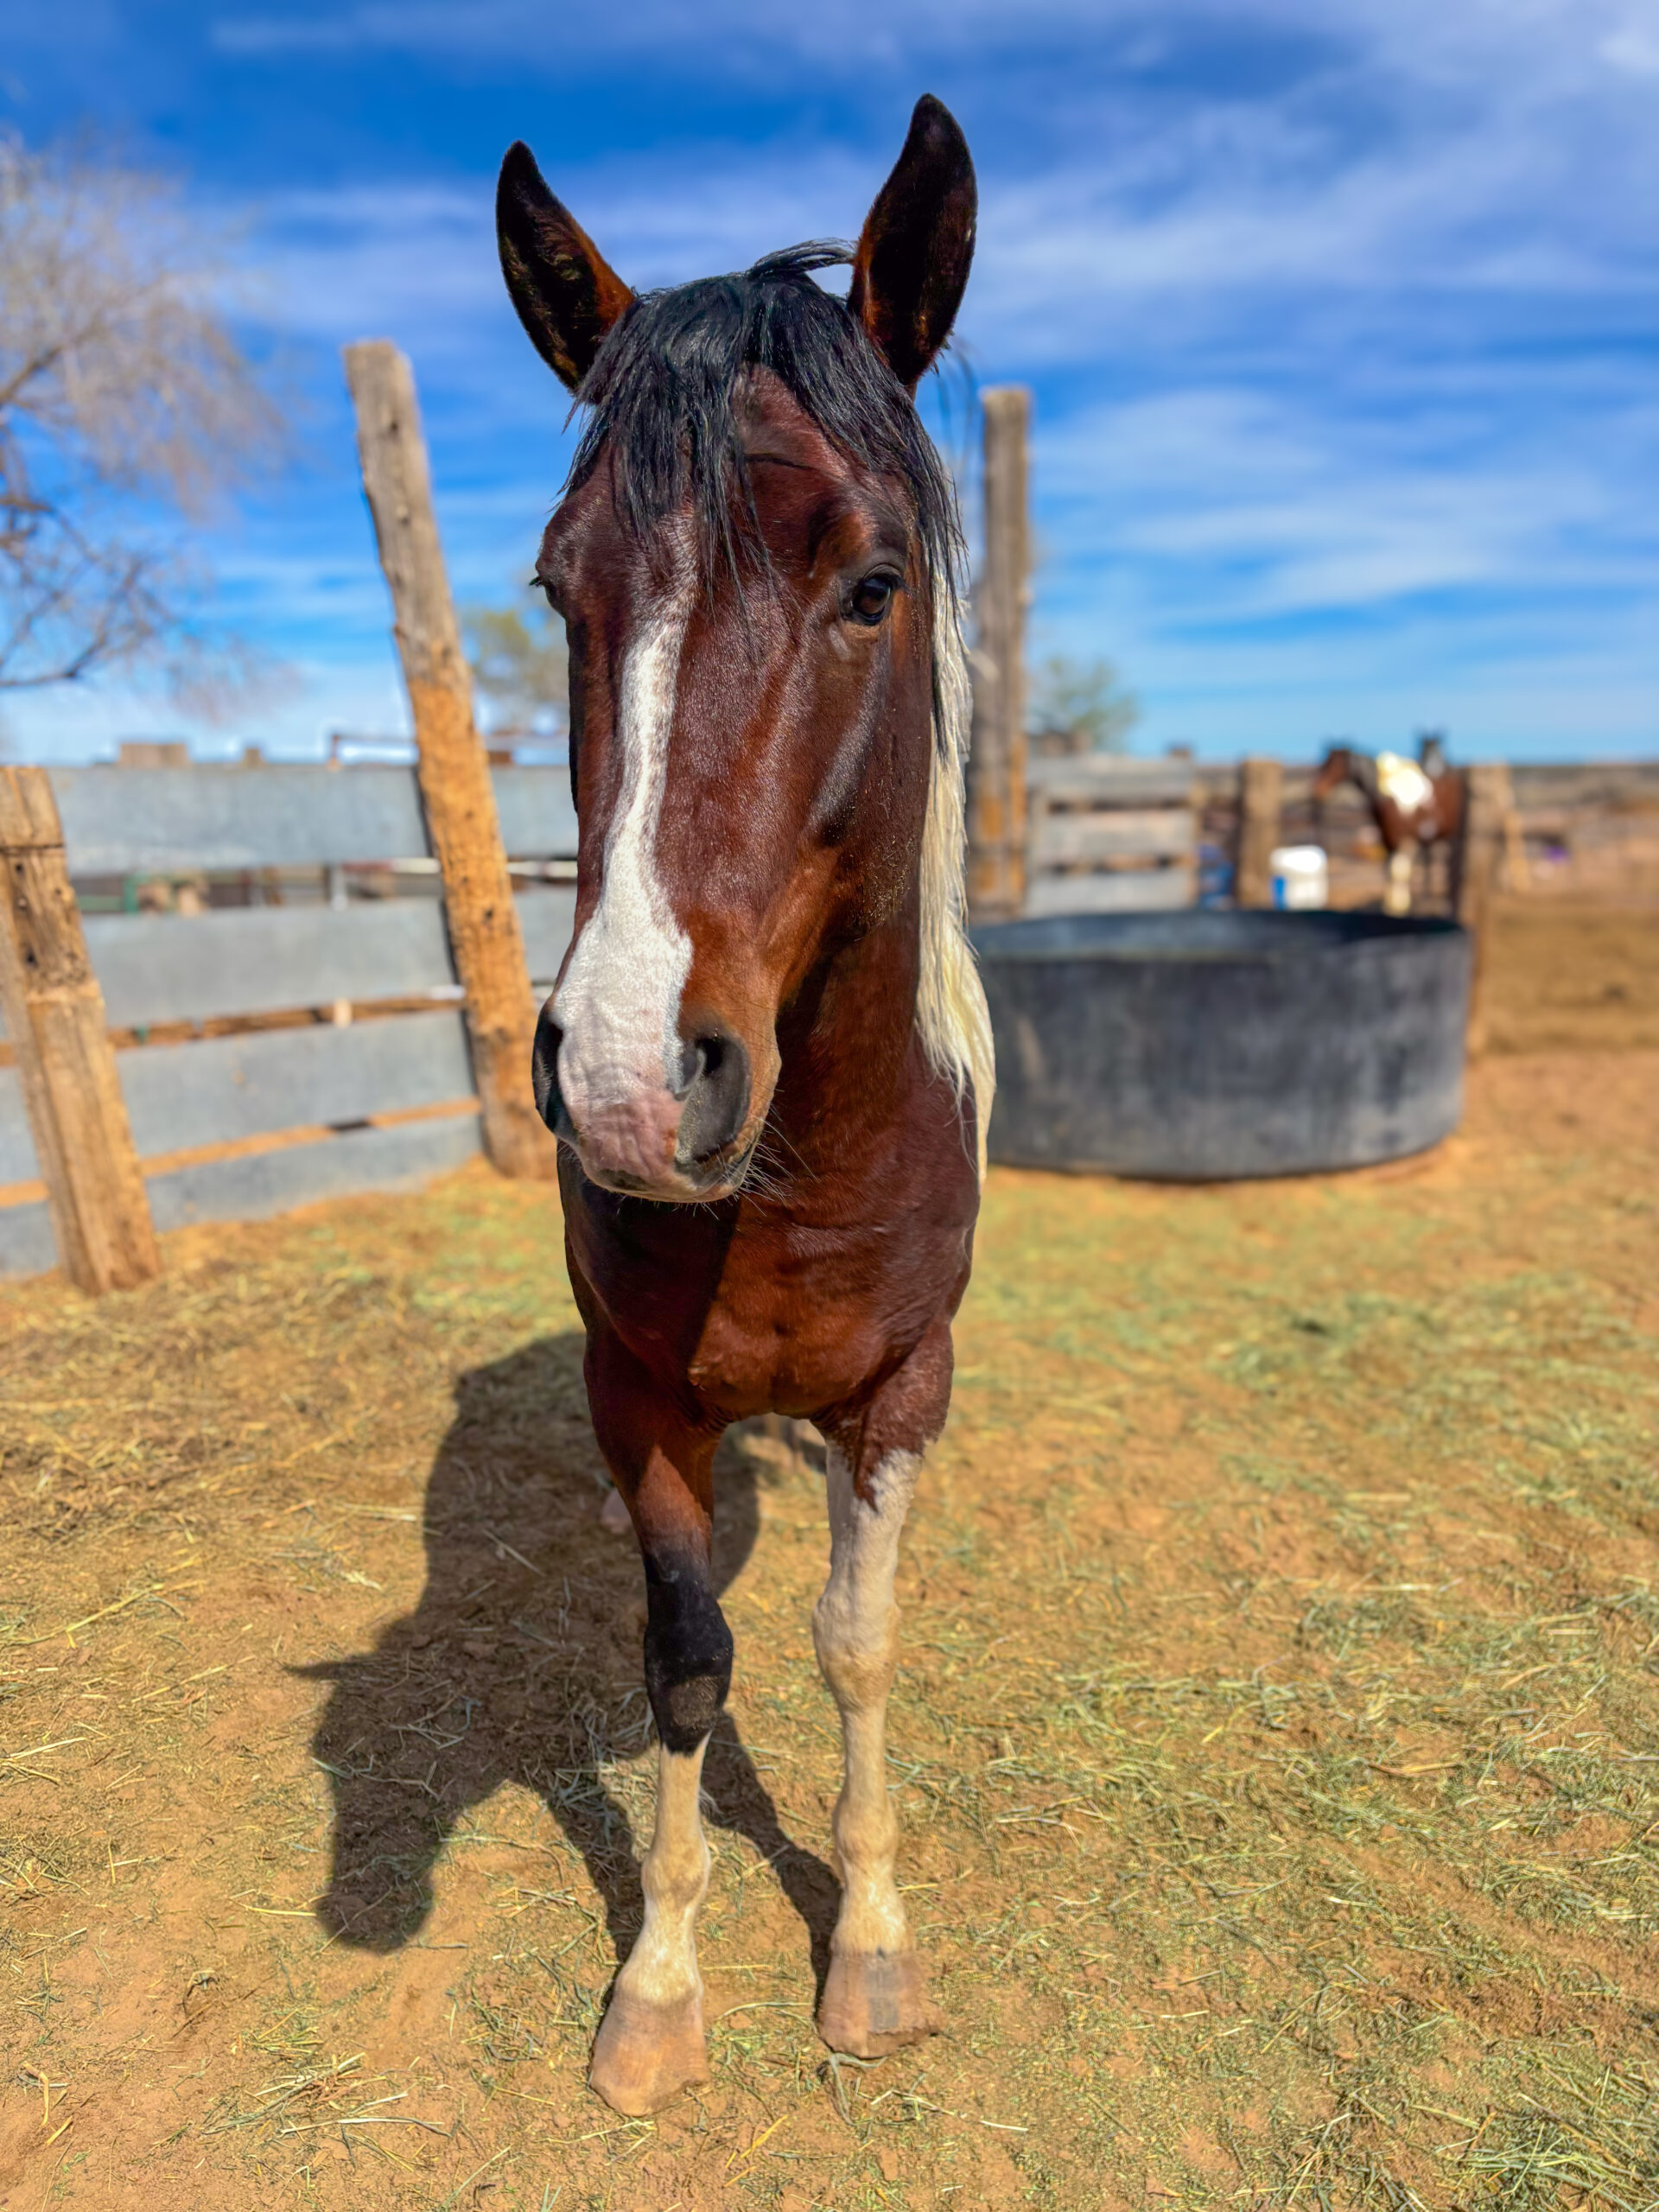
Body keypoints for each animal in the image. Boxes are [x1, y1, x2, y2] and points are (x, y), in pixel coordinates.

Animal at [1310, 742, 1466, 914]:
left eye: (1334, 764)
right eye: (1325, 762)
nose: (1316, 788)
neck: (1386, 797)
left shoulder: (1400, 840)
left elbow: (1399, 871)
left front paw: (1399, 907)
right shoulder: (1388, 840)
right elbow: (1389, 872)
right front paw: (1390, 905)